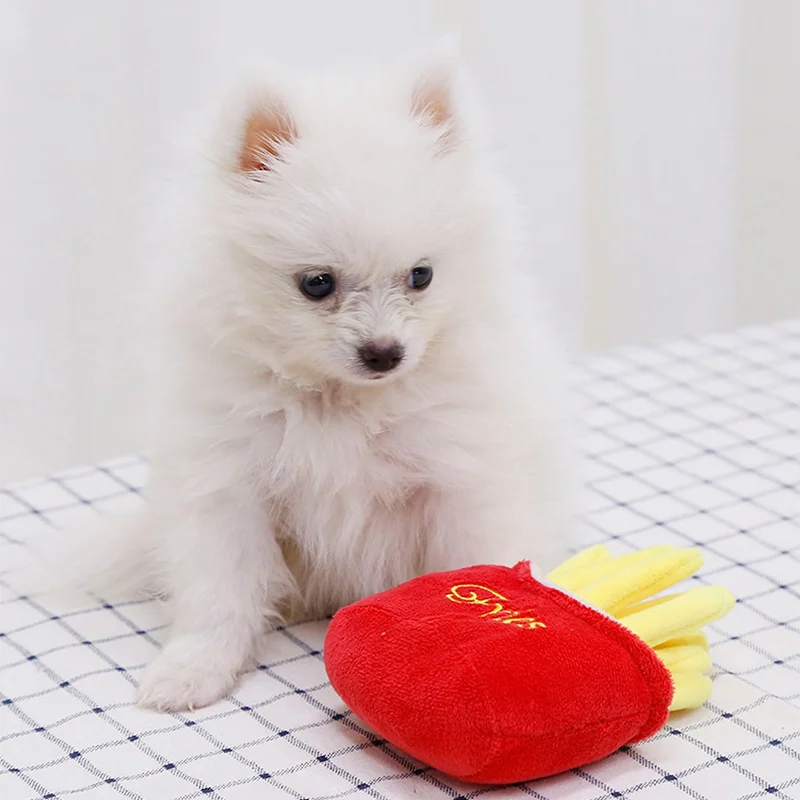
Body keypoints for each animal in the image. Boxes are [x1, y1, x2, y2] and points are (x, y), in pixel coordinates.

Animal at [40, 48, 580, 712]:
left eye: (421, 276)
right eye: (316, 283)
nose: (385, 353)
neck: (339, 402)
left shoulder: (460, 481)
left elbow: (476, 565)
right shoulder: (227, 486)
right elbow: (219, 592)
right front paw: (192, 670)